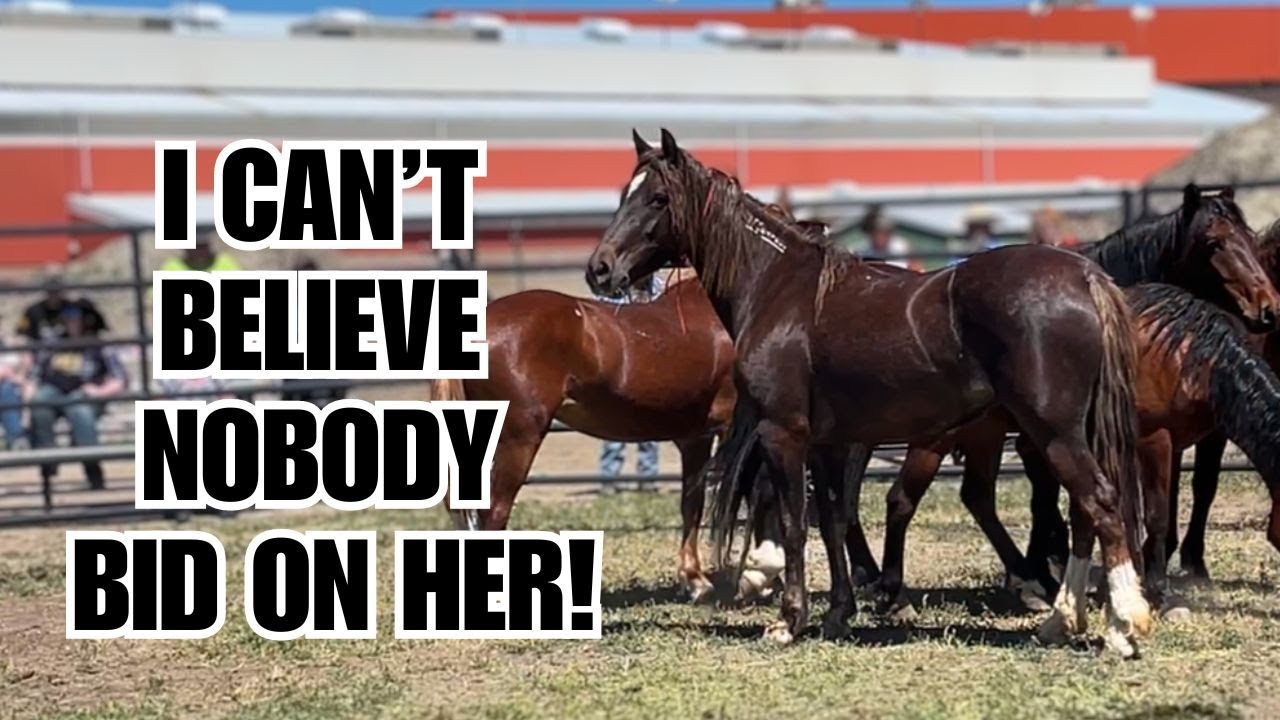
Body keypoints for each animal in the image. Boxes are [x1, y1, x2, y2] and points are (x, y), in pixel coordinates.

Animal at [588, 128, 1150, 657]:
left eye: (658, 198)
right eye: (624, 193)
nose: (599, 268)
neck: (781, 292)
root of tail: (1084, 276)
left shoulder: (783, 433)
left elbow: (795, 524)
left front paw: (789, 620)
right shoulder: (830, 443)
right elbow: (835, 521)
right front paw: (839, 612)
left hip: (1052, 431)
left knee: (1099, 502)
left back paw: (1123, 626)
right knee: (1082, 512)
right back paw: (1062, 620)